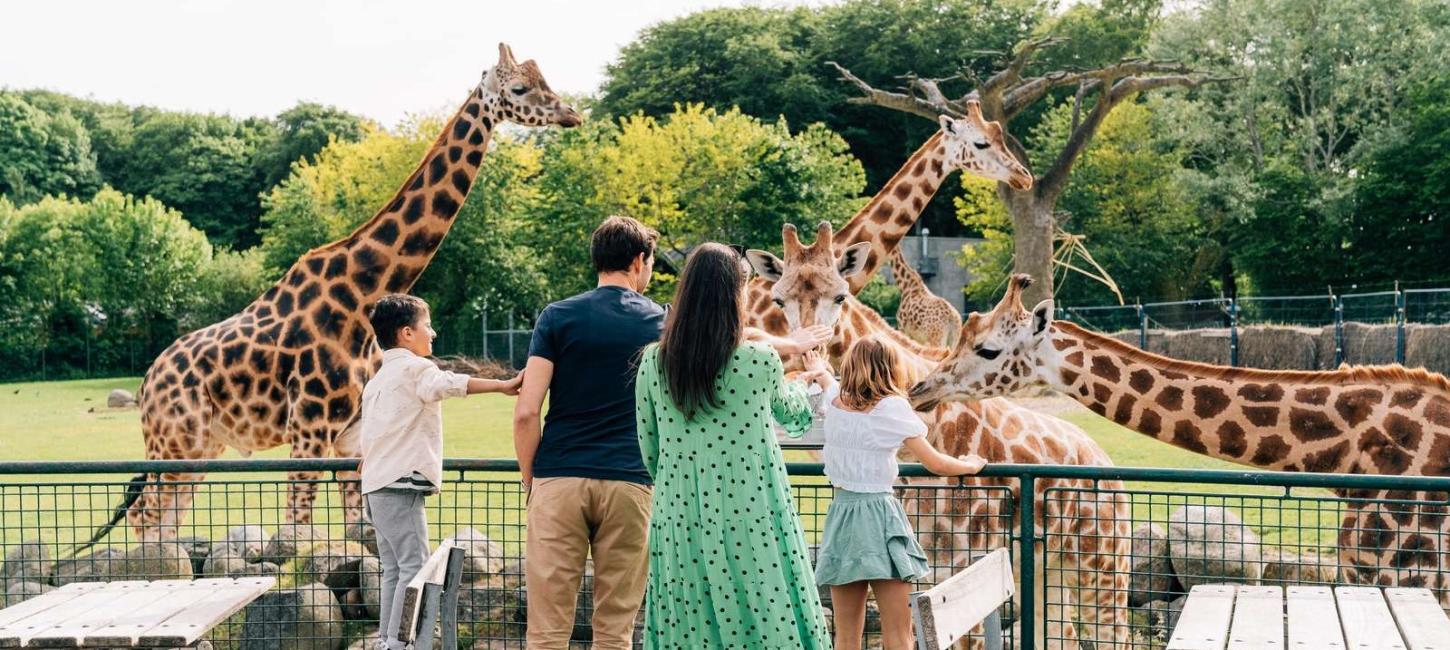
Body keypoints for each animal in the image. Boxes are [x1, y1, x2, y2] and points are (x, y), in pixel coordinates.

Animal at [86, 43, 577, 545]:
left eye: (545, 80)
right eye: (519, 88)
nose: (571, 114)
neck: (360, 294)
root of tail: (148, 383)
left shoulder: (350, 434)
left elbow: (357, 530)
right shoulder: (308, 429)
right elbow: (296, 536)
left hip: (201, 448)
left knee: (166, 517)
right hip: (174, 440)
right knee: (145, 516)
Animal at [748, 223, 1131, 650]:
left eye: (841, 295)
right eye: (779, 299)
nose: (811, 360)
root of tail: (1107, 465)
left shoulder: (965, 567)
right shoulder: (924, 567)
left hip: (1102, 563)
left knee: (1115, 632)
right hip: (1046, 569)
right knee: (1060, 632)